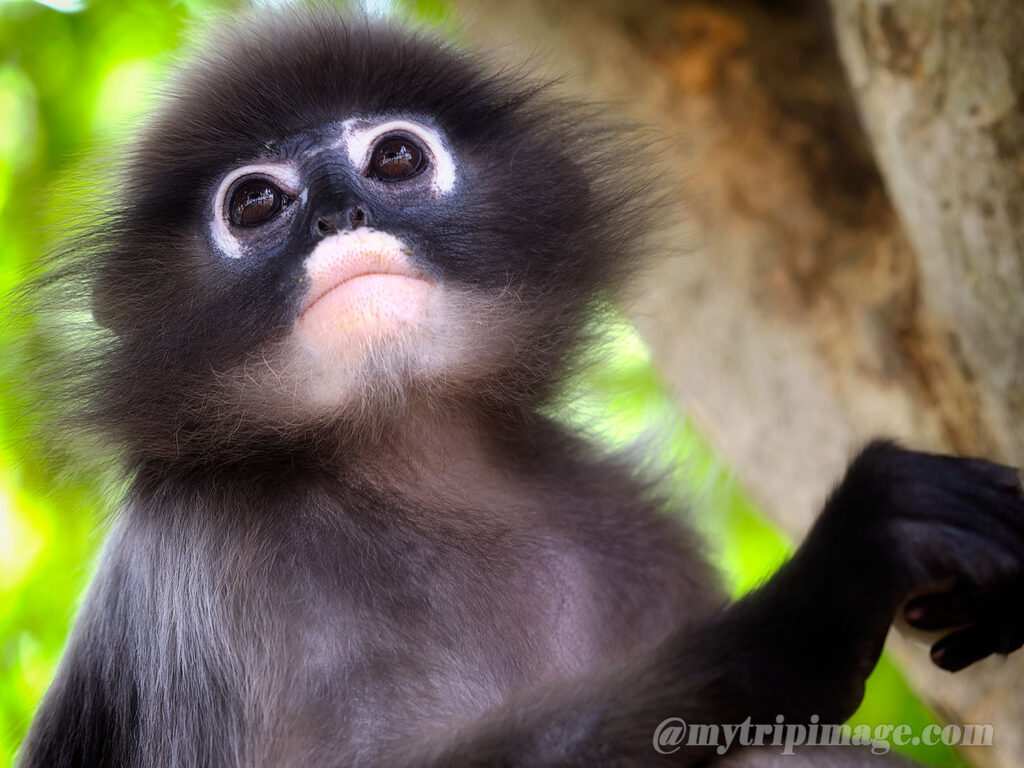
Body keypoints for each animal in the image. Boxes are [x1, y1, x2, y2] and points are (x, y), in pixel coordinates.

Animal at [14, 8, 1024, 768]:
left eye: (395, 159)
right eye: (255, 203)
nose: (341, 215)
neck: (410, 461)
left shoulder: (632, 530)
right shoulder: (202, 567)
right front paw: (821, 591)